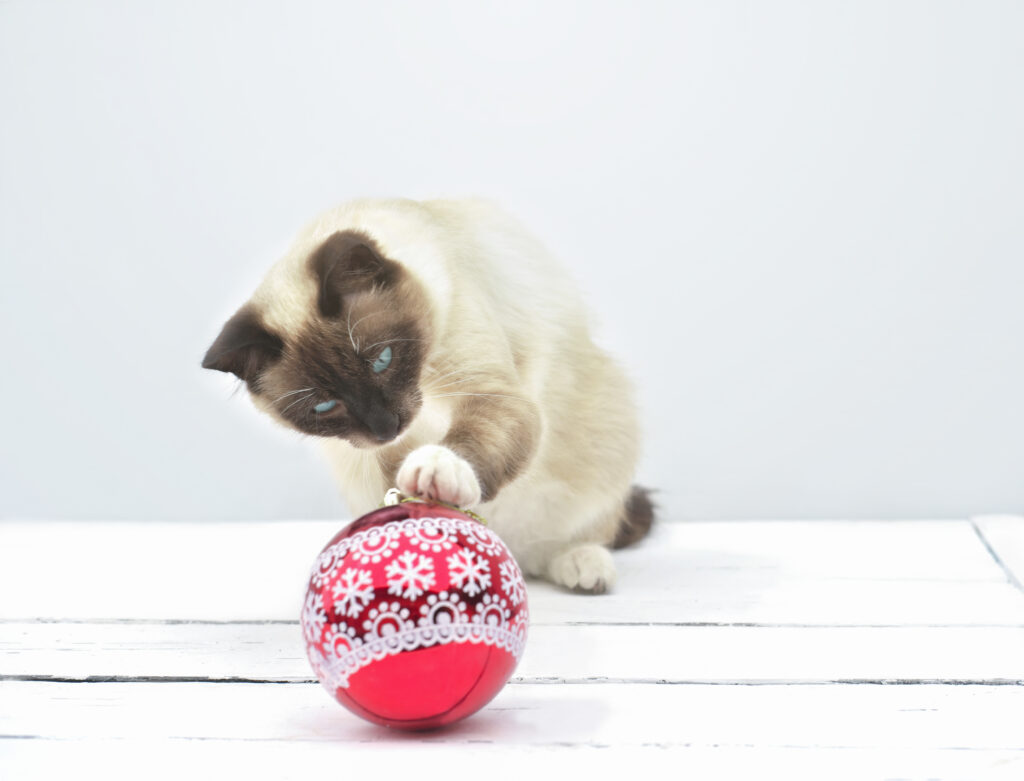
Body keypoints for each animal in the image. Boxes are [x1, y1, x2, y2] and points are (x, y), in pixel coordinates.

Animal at [202, 196, 651, 593]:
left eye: (381, 360)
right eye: (325, 406)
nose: (386, 427)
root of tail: (511, 549)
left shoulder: (487, 390)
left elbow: (463, 443)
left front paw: (438, 470)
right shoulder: (380, 454)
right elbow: (395, 493)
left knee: (569, 540)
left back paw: (581, 565)